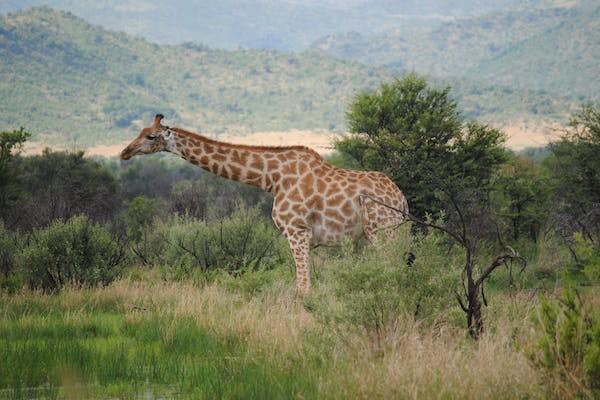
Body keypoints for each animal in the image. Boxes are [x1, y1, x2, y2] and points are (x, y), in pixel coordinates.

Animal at [119, 115, 410, 294]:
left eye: (151, 136)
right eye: (140, 131)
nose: (124, 152)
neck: (271, 178)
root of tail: (401, 199)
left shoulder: (297, 231)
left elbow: (303, 288)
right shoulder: (311, 240)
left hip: (382, 232)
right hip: (388, 232)